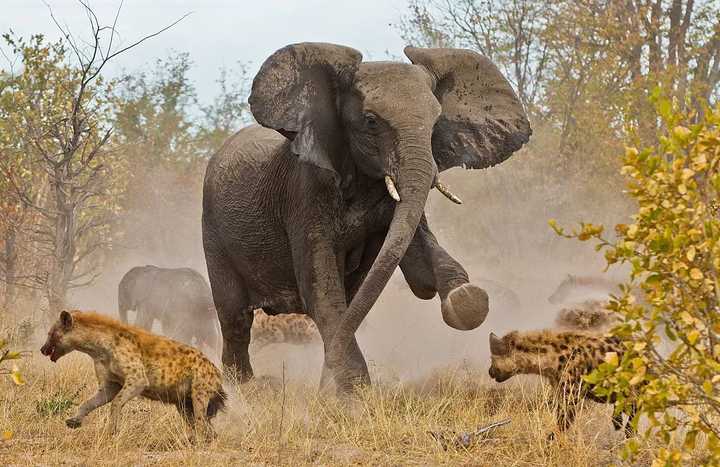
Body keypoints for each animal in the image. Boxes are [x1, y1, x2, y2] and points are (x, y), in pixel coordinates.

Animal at [201, 43, 528, 392]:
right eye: (371, 121)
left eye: (436, 122)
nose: (321, 388)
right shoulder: (305, 191)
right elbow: (320, 289)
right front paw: (351, 394)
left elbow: (417, 264)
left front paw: (465, 298)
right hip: (213, 231)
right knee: (235, 318)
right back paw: (241, 388)